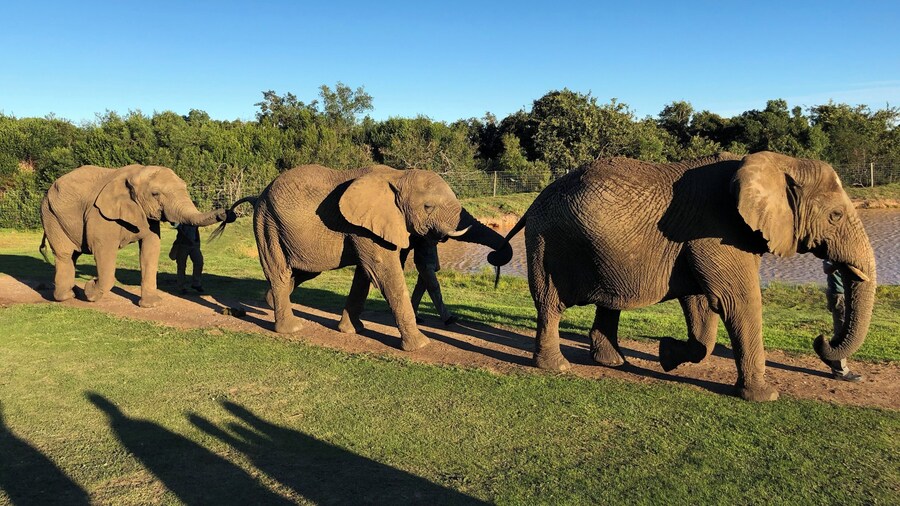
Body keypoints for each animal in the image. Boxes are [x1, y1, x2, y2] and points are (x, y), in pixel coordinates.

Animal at [40, 164, 235, 307]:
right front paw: (90, 291)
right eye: (155, 194)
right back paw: (67, 296)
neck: (136, 174)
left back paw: (74, 292)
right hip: (50, 215)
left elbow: (151, 248)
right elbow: (104, 251)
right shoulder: (100, 215)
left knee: (73, 255)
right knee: (65, 254)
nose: (227, 213)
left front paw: (151, 305)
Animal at [220, 164, 513, 350]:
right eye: (428, 206)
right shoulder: (365, 226)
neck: (398, 176)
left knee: (304, 271)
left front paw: (352, 331)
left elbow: (365, 274)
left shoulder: (370, 227)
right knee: (279, 270)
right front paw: (420, 345)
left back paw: (269, 301)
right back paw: (292, 329)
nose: (494, 257)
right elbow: (385, 272)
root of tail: (258, 195)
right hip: (266, 223)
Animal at [497, 151, 876, 401]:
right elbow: (737, 301)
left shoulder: (698, 239)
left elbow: (701, 306)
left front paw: (667, 355)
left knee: (608, 301)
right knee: (550, 303)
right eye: (836, 215)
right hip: (548, 241)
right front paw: (764, 396)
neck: (780, 162)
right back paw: (557, 368)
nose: (821, 338)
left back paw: (615, 362)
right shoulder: (717, 230)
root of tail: (534, 202)